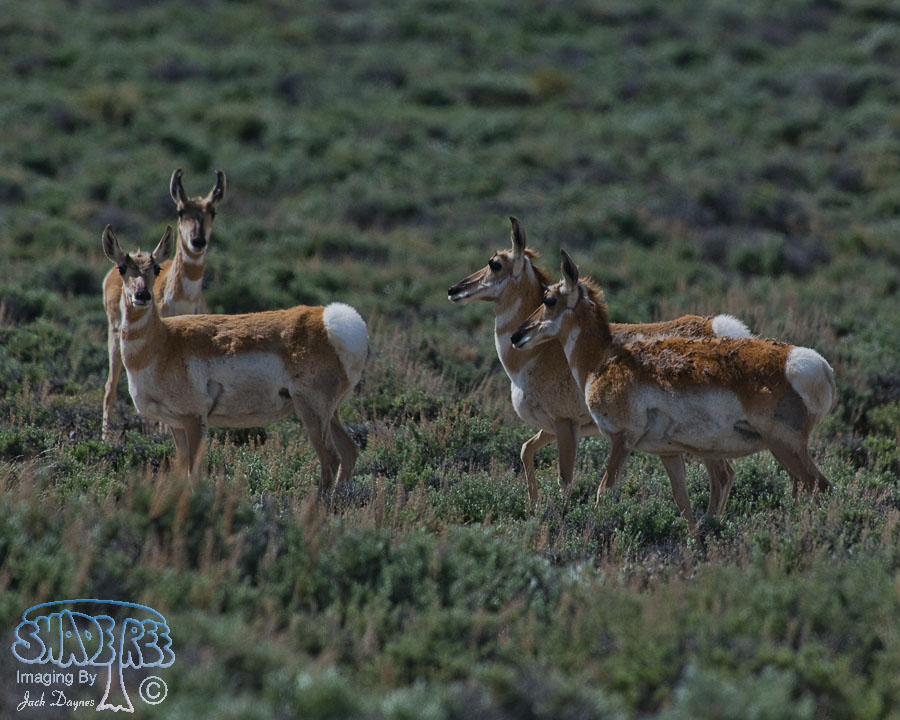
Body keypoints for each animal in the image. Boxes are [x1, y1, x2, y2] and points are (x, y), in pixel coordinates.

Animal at [101, 225, 368, 495]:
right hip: (329, 412)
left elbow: (194, 472)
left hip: (312, 410)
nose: (142, 295)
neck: (164, 341)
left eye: (156, 269)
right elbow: (181, 470)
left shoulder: (193, 418)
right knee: (349, 452)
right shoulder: (175, 422)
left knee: (330, 458)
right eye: (122, 268)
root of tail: (331, 322)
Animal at [102, 168, 226, 440]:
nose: (198, 241)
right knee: (110, 387)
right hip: (114, 339)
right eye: (181, 211)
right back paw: (105, 437)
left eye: (212, 211)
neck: (182, 300)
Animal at [448, 217, 751, 510]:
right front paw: (533, 504)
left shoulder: (566, 424)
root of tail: (719, 328)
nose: (454, 289)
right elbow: (526, 449)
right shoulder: (554, 427)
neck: (541, 354)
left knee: (722, 475)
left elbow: (564, 479)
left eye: (495, 263)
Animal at [510, 249, 834, 529]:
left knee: (819, 486)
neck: (602, 358)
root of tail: (813, 364)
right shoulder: (669, 452)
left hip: (784, 446)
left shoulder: (621, 439)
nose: (516, 335)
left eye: (549, 299)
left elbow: (604, 491)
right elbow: (684, 504)